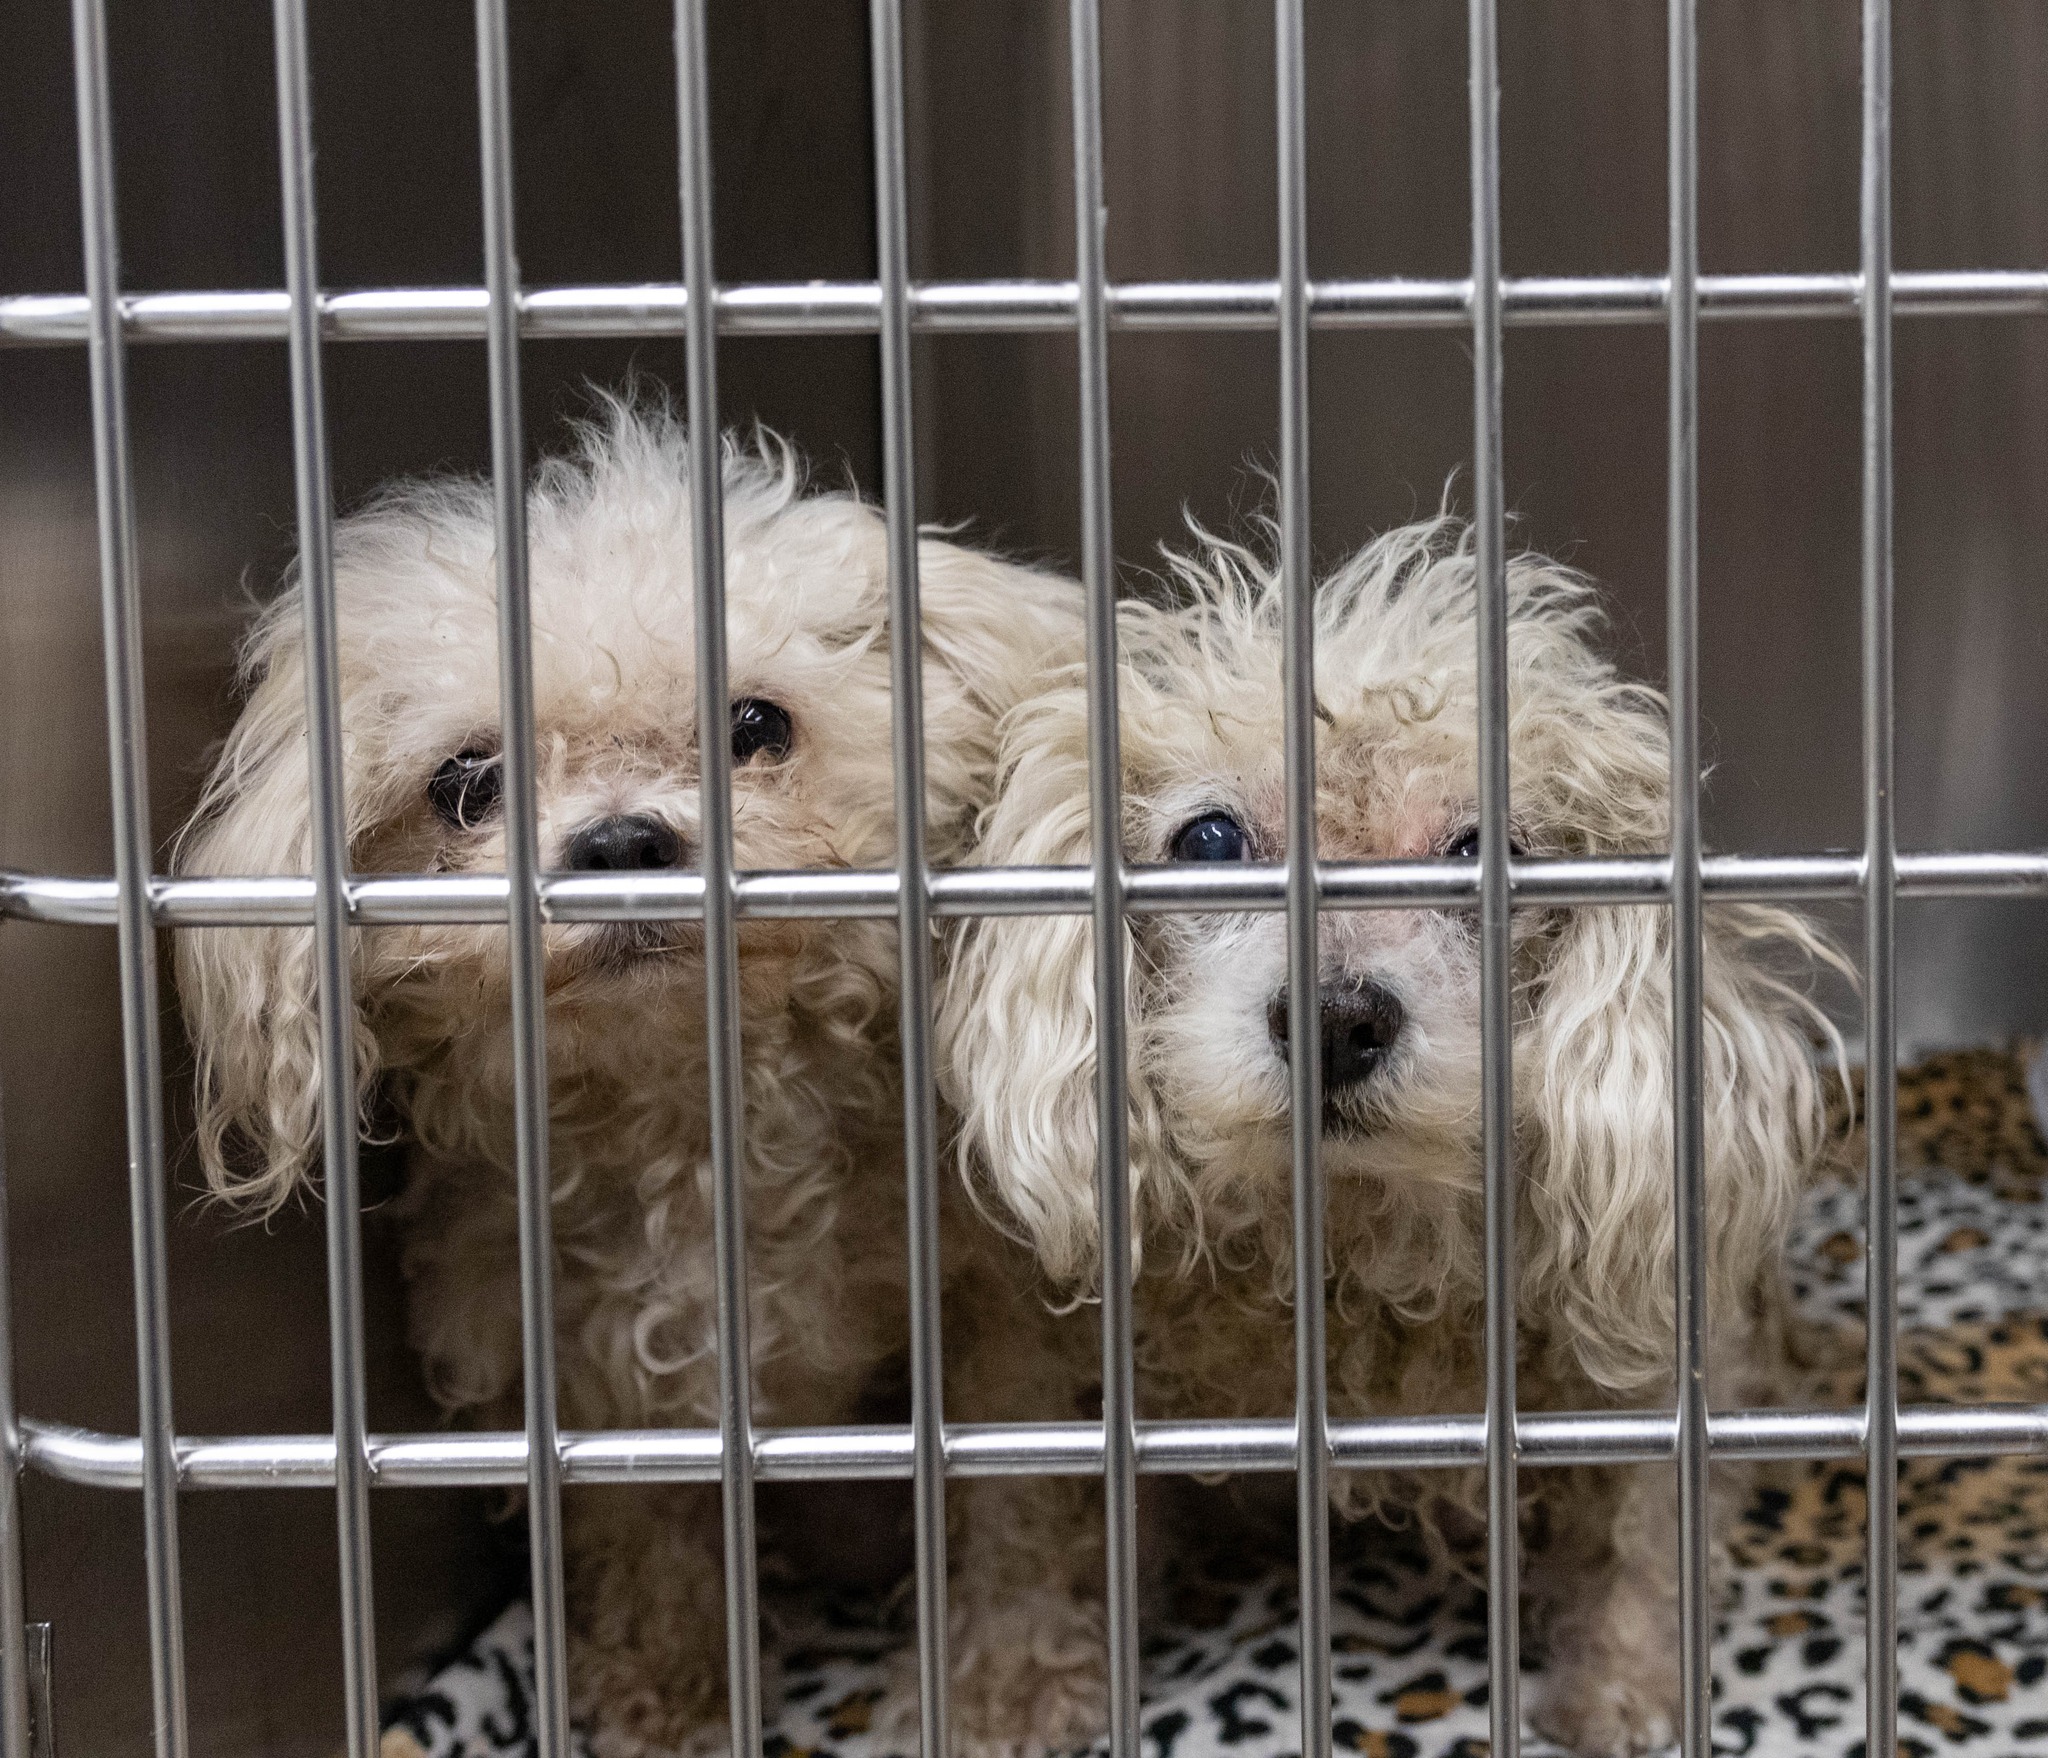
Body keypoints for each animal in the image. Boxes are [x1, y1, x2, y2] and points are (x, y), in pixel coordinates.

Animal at [172, 401, 1089, 1753]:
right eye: (468, 783)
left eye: (757, 726)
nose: (617, 842)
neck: (696, 1118)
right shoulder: (581, 1361)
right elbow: (638, 1526)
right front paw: (667, 1691)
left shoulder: (999, 1320)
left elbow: (1016, 1499)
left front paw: (1006, 1689)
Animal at [937, 516, 1851, 1753]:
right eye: (1208, 840)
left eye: (1480, 851)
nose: (1334, 1020)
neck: (1351, 1243)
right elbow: (1032, 1510)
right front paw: (1010, 1682)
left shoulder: (1652, 1353)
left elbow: (1647, 1523)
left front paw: (1630, 1683)